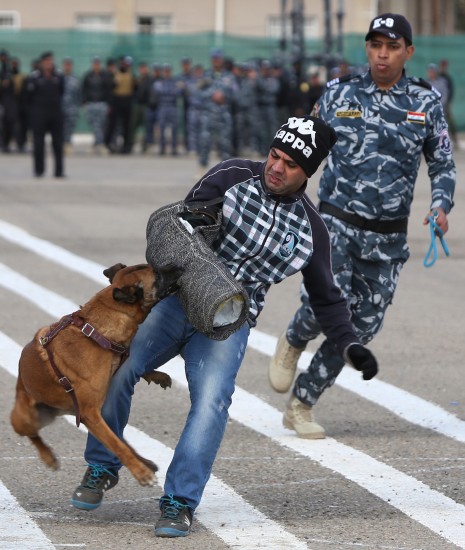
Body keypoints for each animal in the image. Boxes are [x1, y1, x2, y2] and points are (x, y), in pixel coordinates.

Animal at [10, 264, 181, 488]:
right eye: (157, 275)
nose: (180, 267)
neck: (95, 331)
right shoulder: (91, 413)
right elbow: (117, 446)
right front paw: (141, 474)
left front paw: (157, 375)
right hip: (25, 418)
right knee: (33, 435)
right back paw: (48, 456)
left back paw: (144, 460)